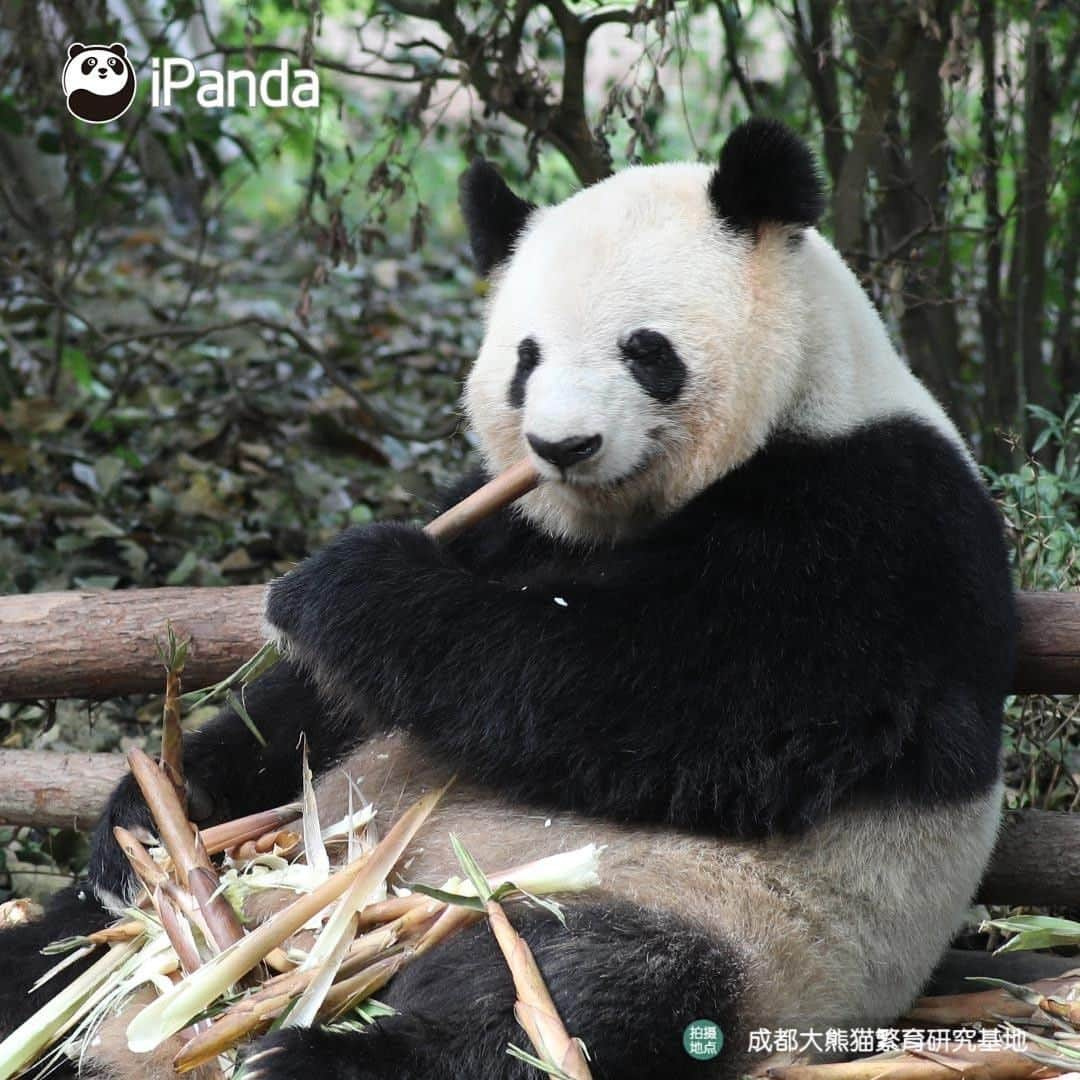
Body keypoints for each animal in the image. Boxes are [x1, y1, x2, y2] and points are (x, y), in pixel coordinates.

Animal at [0, 120, 1010, 1080]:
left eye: (646, 351)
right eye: (526, 357)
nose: (562, 445)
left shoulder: (876, 524)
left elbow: (678, 692)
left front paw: (345, 583)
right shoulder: (506, 514)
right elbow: (311, 711)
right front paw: (150, 814)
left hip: (707, 915)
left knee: (571, 990)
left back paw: (326, 1056)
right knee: (57, 952)